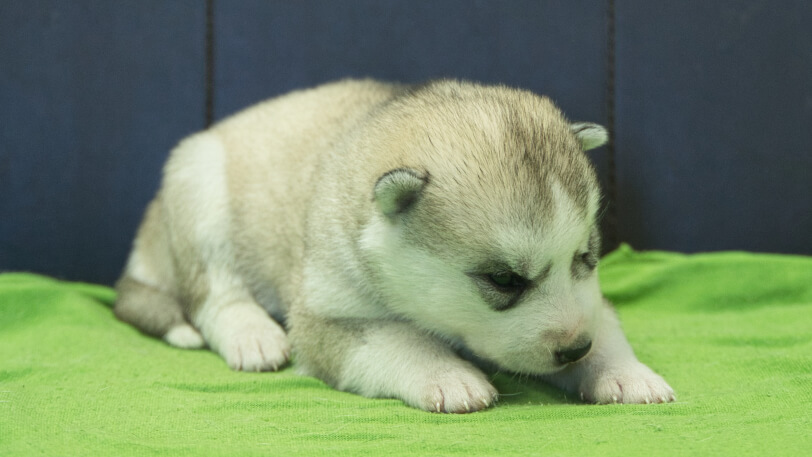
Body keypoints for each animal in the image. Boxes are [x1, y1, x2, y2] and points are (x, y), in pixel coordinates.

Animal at [112, 79, 672, 414]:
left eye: (587, 258)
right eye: (503, 280)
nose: (577, 349)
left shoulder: (591, 302)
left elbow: (605, 322)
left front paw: (624, 371)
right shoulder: (325, 315)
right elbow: (400, 339)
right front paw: (448, 374)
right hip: (200, 186)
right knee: (213, 294)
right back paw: (253, 335)